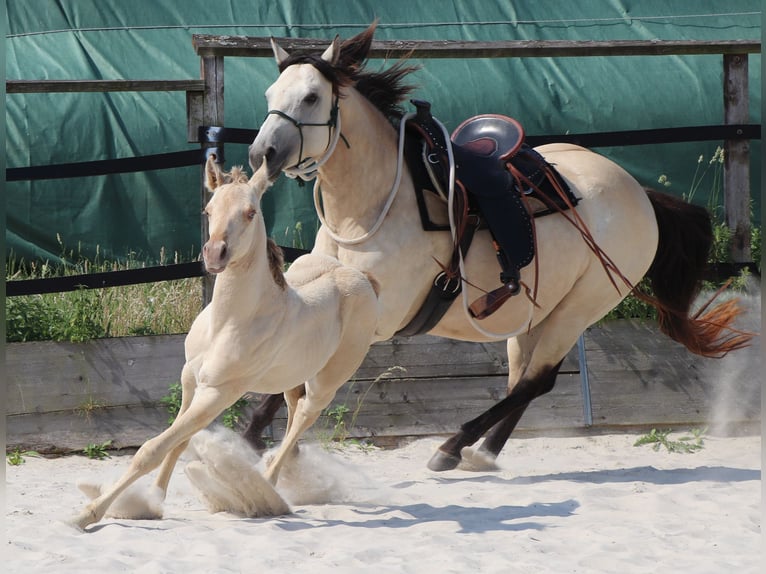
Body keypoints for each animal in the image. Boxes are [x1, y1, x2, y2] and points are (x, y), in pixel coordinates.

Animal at [72, 156, 380, 529]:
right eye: (208, 209)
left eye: (250, 212)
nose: (214, 253)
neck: (229, 323)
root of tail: (363, 279)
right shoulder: (191, 381)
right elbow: (178, 443)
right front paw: (152, 501)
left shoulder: (220, 391)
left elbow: (153, 449)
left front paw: (88, 513)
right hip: (291, 376)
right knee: (294, 409)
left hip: (328, 380)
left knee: (306, 414)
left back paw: (269, 488)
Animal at [247, 23, 752, 472]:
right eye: (269, 95)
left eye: (311, 97)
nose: (261, 155)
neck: (369, 208)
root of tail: (642, 195)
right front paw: (251, 438)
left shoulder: (377, 317)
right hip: (532, 314)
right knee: (522, 381)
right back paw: (483, 451)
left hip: (581, 308)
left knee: (537, 381)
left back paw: (455, 446)